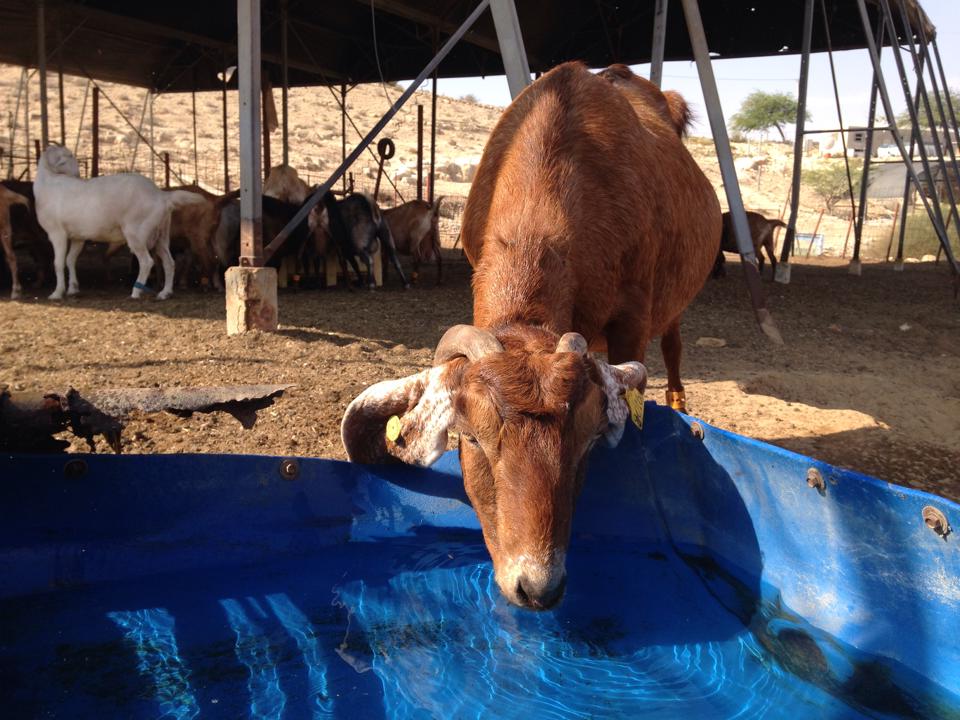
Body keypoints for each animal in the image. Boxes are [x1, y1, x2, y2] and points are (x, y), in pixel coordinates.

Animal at [35, 146, 204, 300]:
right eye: (65, 159)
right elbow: (70, 260)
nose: (77, 175)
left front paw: (57, 293)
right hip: (161, 234)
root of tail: (162, 197)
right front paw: (73, 289)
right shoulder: (78, 236)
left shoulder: (57, 233)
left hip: (136, 233)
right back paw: (165, 293)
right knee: (169, 262)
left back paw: (136, 292)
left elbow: (58, 262)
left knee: (147, 262)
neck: (49, 183)